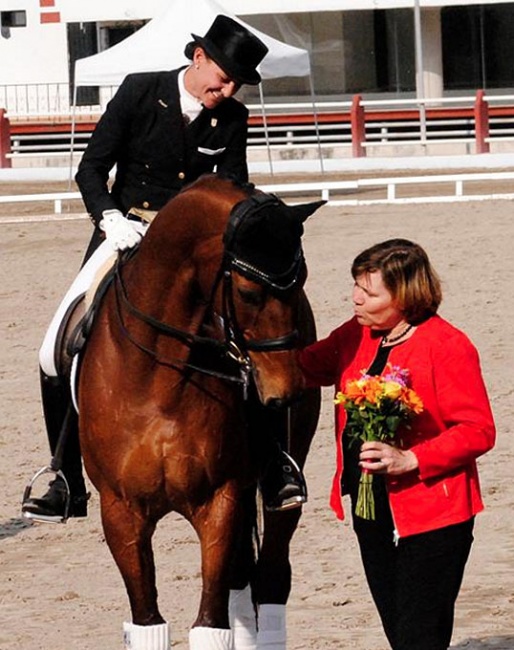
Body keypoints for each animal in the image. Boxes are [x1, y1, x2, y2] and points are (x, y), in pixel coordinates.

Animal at [77, 175, 320, 644]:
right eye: (247, 292)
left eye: (301, 280)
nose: (287, 392)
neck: (158, 377)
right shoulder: (121, 513)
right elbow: (148, 622)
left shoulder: (219, 501)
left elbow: (210, 624)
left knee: (269, 578)